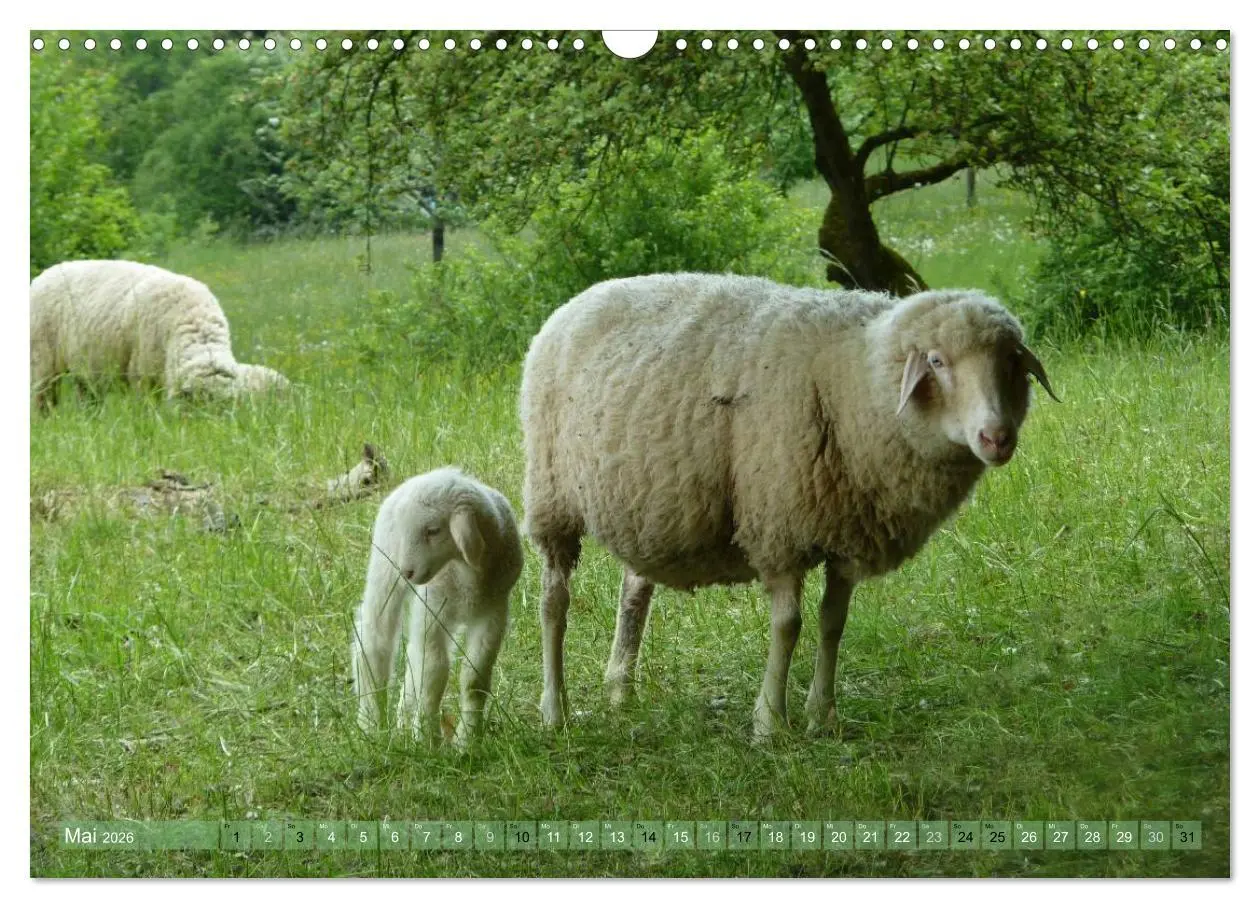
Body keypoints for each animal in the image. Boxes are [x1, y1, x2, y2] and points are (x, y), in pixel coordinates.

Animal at [351, 468, 524, 747]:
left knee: (412, 657)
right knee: (374, 641)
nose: (407, 572)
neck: (465, 575)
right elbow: (433, 674)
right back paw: (370, 724)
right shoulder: (432, 609)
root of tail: (424, 475)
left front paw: (467, 741)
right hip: (385, 569)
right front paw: (426, 739)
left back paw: (402, 722)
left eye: (433, 530)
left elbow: (474, 678)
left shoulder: (493, 611)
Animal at [519, 272, 1058, 740]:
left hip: (647, 504)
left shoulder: (847, 534)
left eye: (1011, 362)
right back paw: (554, 710)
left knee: (633, 592)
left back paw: (620, 691)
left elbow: (833, 623)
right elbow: (788, 625)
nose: (996, 437)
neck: (855, 381)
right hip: (552, 495)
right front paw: (770, 722)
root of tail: (581, 299)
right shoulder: (779, 525)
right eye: (937, 361)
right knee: (553, 602)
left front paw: (823, 715)